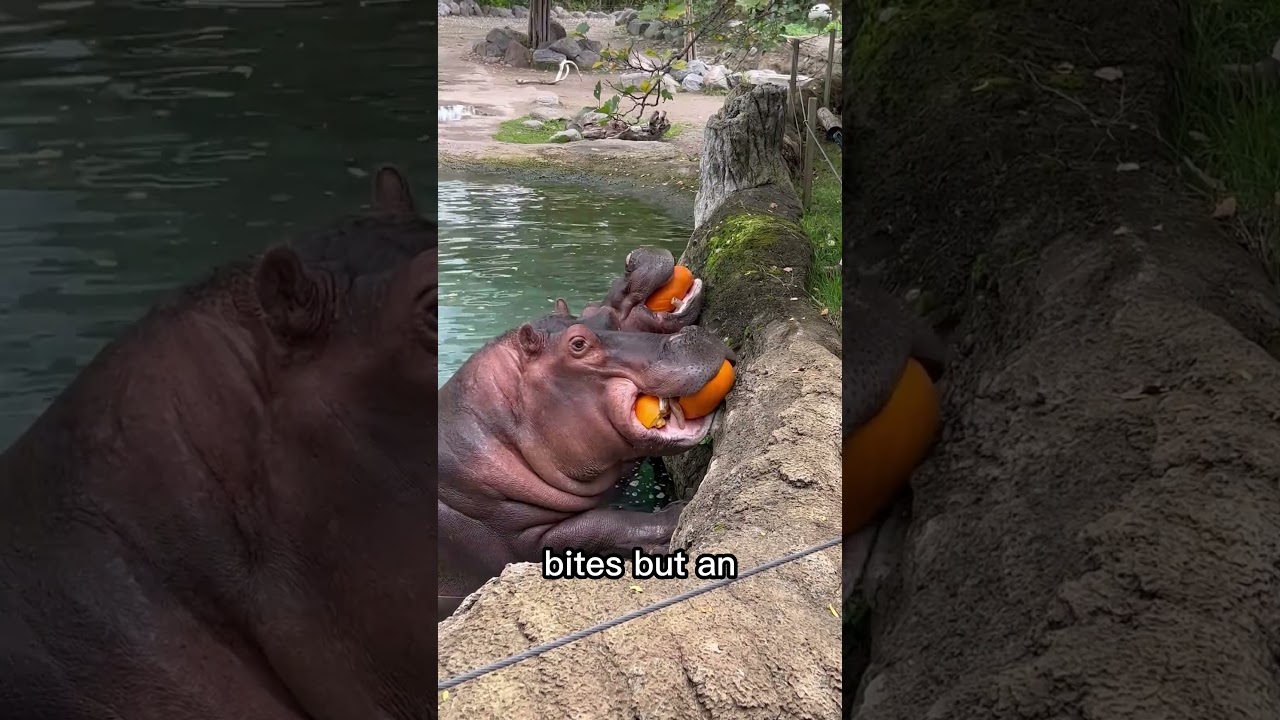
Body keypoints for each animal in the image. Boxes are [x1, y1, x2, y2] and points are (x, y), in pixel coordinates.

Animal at [437, 299, 735, 618]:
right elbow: (602, 524)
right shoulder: (521, 538)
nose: (692, 334)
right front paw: (679, 510)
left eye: (601, 314)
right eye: (578, 344)